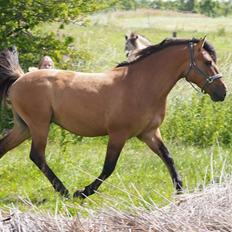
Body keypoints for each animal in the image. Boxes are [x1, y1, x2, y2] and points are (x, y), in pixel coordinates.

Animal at [0, 38, 227, 199]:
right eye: (208, 62)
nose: (222, 92)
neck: (140, 85)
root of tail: (19, 79)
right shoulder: (118, 134)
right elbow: (109, 167)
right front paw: (83, 192)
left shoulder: (149, 133)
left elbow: (168, 158)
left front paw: (180, 192)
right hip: (39, 125)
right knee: (37, 156)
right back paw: (64, 191)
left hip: (24, 127)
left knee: (5, 147)